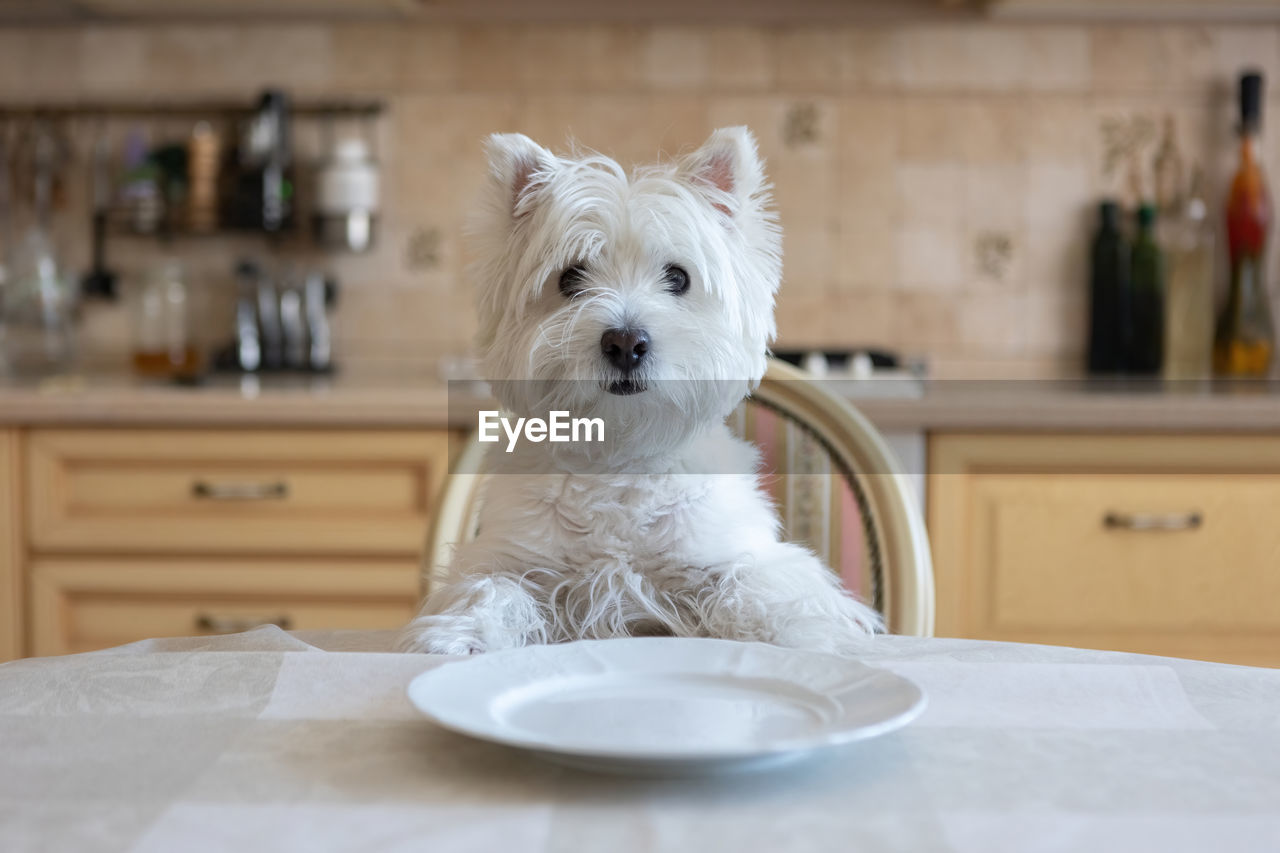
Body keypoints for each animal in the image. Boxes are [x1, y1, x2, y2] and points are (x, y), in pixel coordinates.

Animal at [399, 126, 880, 653]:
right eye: (571, 277)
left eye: (678, 277)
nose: (625, 343)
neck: (620, 456)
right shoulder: (511, 557)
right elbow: (489, 588)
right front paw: (461, 635)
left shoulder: (730, 552)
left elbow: (760, 583)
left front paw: (800, 630)